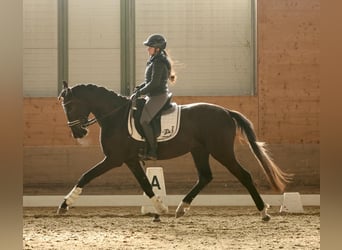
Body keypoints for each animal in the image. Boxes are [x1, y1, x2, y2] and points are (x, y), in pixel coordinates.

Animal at [56, 81, 292, 221]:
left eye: (70, 106)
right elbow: (146, 184)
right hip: (199, 151)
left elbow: (86, 176)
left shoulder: (114, 159)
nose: (77, 133)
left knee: (244, 175)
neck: (116, 116)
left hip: (221, 151)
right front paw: (161, 209)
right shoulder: (130, 160)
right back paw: (181, 207)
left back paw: (263, 211)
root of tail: (226, 111)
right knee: (205, 176)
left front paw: (64, 204)